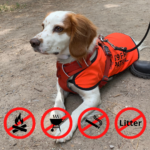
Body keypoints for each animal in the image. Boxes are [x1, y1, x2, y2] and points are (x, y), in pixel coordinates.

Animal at [30, 10, 142, 143]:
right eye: (43, 26)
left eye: (58, 28)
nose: (32, 42)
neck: (70, 64)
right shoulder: (60, 84)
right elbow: (58, 98)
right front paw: (56, 112)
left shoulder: (92, 97)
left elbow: (76, 112)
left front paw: (65, 129)